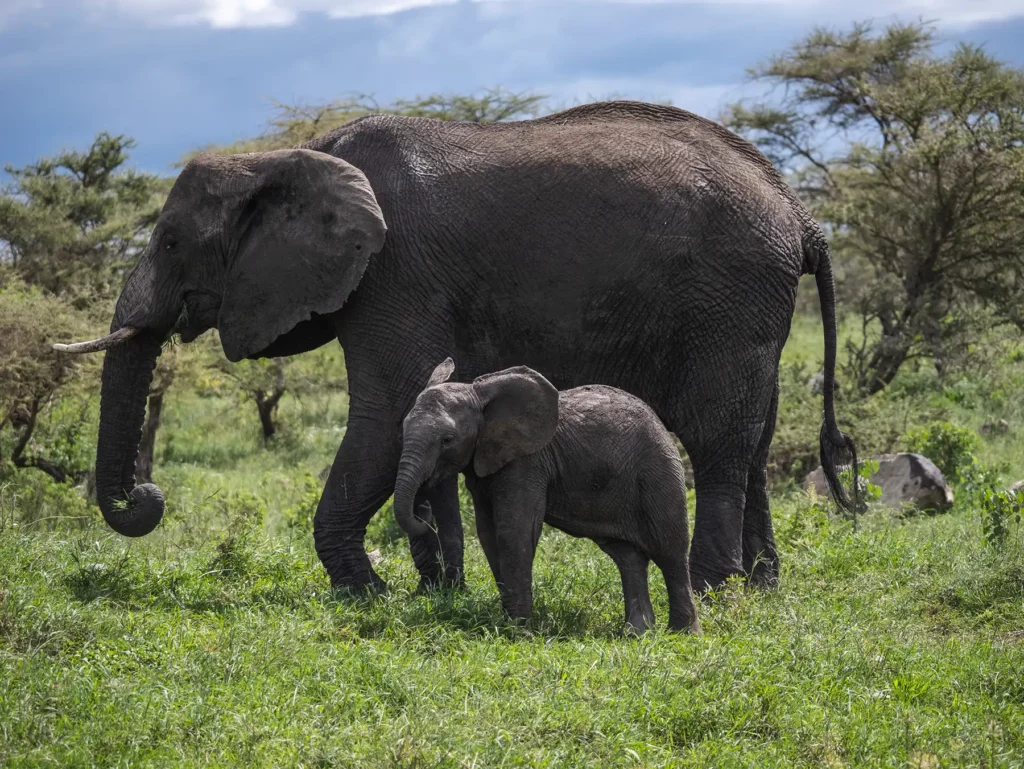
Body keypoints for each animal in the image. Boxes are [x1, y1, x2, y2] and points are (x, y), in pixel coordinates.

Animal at [54, 100, 858, 595]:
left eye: (169, 241)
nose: (147, 497)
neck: (289, 156)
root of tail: (802, 216)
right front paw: (432, 585)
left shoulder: (394, 272)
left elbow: (385, 413)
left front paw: (370, 593)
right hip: (748, 306)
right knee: (755, 440)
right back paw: (763, 587)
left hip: (729, 294)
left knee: (718, 437)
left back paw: (712, 589)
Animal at [395, 358, 701, 634]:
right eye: (403, 428)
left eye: (447, 440)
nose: (423, 512)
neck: (480, 396)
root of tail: (661, 426)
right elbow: (488, 534)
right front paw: (509, 624)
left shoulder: (527, 461)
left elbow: (514, 532)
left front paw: (519, 633)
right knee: (627, 556)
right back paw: (637, 634)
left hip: (658, 472)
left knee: (669, 551)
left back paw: (682, 635)